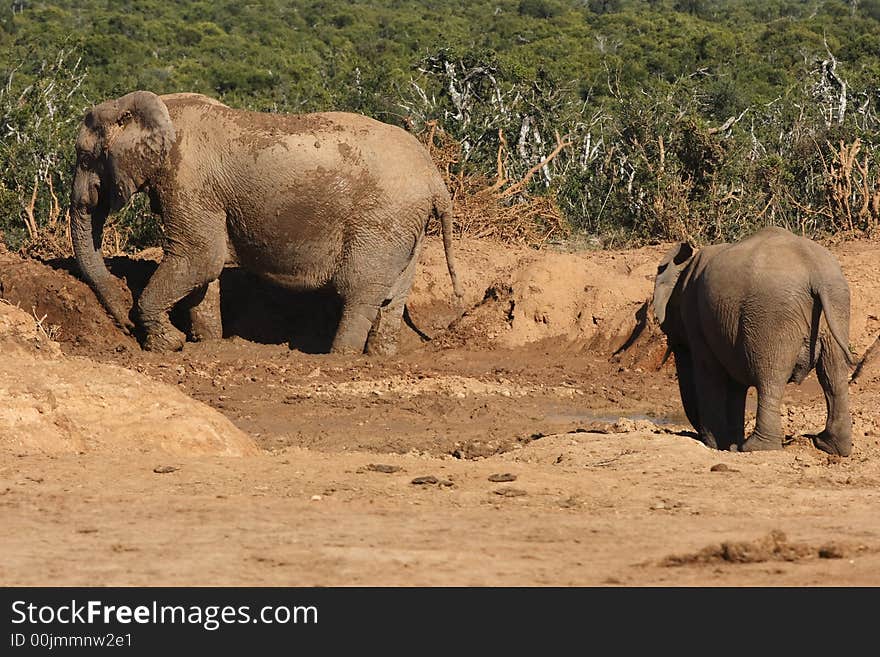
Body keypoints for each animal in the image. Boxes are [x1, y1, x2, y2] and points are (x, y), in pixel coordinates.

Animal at [72, 91, 464, 354]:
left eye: (86, 157)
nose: (124, 325)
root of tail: (434, 178)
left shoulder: (188, 179)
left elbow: (199, 257)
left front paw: (169, 344)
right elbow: (203, 269)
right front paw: (207, 344)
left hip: (381, 219)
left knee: (359, 292)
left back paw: (339, 358)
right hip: (407, 224)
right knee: (394, 296)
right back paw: (378, 357)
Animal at [652, 226, 852, 456]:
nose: (697, 433)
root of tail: (816, 271)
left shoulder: (697, 319)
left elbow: (708, 371)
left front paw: (717, 445)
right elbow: (735, 384)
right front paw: (729, 444)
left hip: (772, 315)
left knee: (771, 377)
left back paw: (756, 448)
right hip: (837, 305)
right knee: (833, 374)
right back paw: (830, 446)